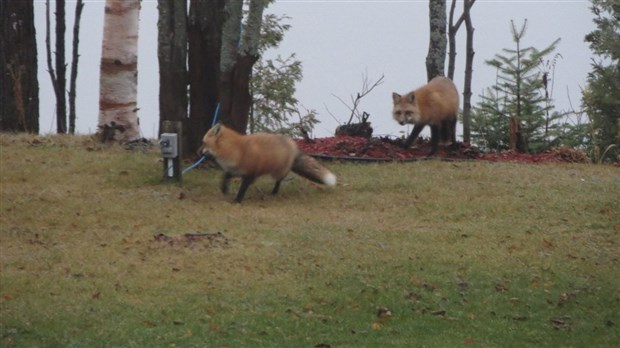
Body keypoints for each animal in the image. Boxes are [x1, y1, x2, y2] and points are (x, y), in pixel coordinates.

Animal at [201, 123, 336, 203]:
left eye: (204, 143)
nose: (199, 153)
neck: (237, 149)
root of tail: (293, 145)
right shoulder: (235, 169)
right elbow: (225, 176)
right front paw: (224, 189)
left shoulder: (250, 174)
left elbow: (242, 189)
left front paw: (237, 201)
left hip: (278, 172)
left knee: (279, 181)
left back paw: (274, 192)